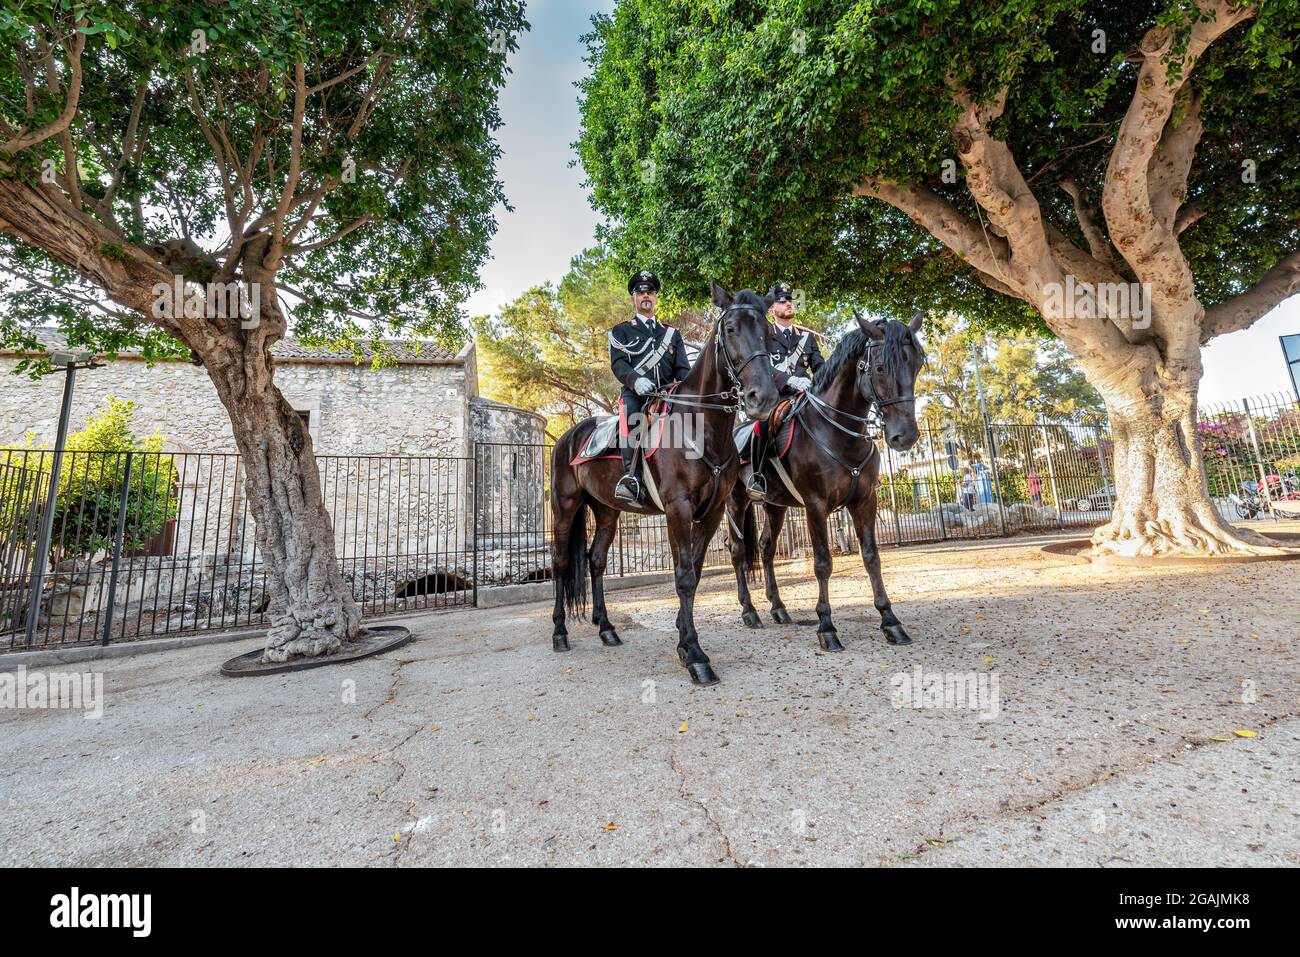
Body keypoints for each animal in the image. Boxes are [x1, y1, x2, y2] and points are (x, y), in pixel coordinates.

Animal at [551, 280, 774, 686]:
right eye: (731, 328)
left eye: (767, 330)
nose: (762, 397)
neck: (703, 426)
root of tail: (570, 435)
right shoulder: (678, 508)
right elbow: (683, 576)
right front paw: (695, 655)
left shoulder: (713, 511)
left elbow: (696, 574)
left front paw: (685, 641)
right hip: (565, 506)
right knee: (560, 563)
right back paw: (560, 632)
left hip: (606, 510)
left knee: (595, 560)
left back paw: (606, 628)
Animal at [733, 310, 925, 655]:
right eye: (880, 367)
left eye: (917, 364)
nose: (905, 436)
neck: (838, 431)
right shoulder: (816, 506)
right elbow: (823, 563)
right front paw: (826, 626)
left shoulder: (864, 501)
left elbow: (872, 558)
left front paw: (890, 621)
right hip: (735, 502)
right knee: (739, 551)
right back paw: (749, 611)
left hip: (774, 506)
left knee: (767, 549)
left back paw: (778, 607)